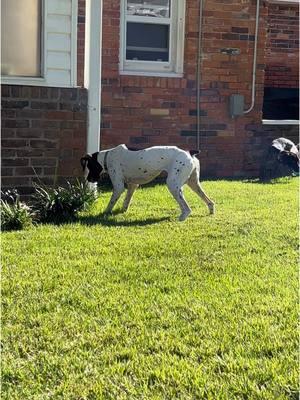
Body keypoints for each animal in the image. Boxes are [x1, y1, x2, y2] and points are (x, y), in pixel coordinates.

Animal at [81, 145, 214, 222]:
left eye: (90, 166)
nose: (88, 179)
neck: (107, 157)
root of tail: (189, 152)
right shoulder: (132, 185)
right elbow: (126, 200)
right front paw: (123, 211)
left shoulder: (118, 187)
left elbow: (111, 203)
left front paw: (105, 213)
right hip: (194, 183)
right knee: (209, 201)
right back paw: (211, 211)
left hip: (173, 184)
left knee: (187, 208)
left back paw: (182, 217)